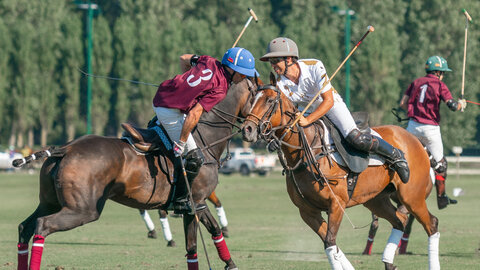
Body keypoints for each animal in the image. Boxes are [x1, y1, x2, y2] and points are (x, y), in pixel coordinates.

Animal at [14, 77, 255, 270]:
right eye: (260, 96)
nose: (254, 130)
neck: (204, 138)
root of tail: (66, 148)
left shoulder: (197, 204)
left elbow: (211, 233)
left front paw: (230, 263)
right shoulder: (194, 202)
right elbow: (194, 245)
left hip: (50, 202)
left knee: (25, 227)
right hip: (83, 209)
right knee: (43, 225)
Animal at [242, 85, 440, 270]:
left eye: (269, 101)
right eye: (252, 99)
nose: (247, 129)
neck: (307, 151)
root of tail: (416, 140)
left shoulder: (336, 204)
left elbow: (330, 242)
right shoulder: (307, 211)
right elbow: (330, 243)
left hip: (412, 196)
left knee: (431, 224)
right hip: (376, 200)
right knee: (400, 221)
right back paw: (389, 263)